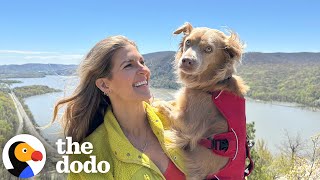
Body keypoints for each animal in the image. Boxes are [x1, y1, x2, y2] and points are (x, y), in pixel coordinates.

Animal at [157, 23, 252, 179]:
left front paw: (157, 102)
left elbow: (166, 106)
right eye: (188, 42)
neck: (211, 86)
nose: (186, 60)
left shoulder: (187, 125)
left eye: (208, 49)